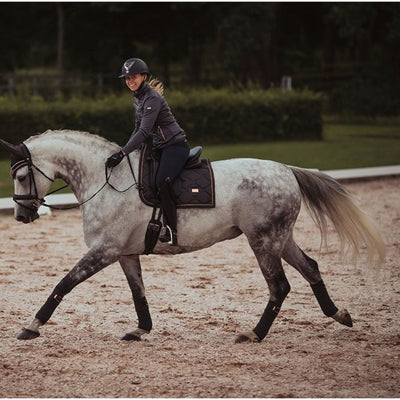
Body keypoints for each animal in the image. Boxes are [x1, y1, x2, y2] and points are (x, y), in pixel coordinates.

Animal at [0, 131, 384, 344]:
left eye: (20, 176)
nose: (21, 216)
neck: (104, 179)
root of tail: (286, 170)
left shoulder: (104, 250)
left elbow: (63, 284)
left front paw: (32, 326)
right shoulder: (124, 253)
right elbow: (138, 293)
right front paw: (141, 330)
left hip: (263, 241)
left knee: (280, 286)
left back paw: (254, 334)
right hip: (280, 239)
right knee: (312, 268)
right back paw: (339, 314)